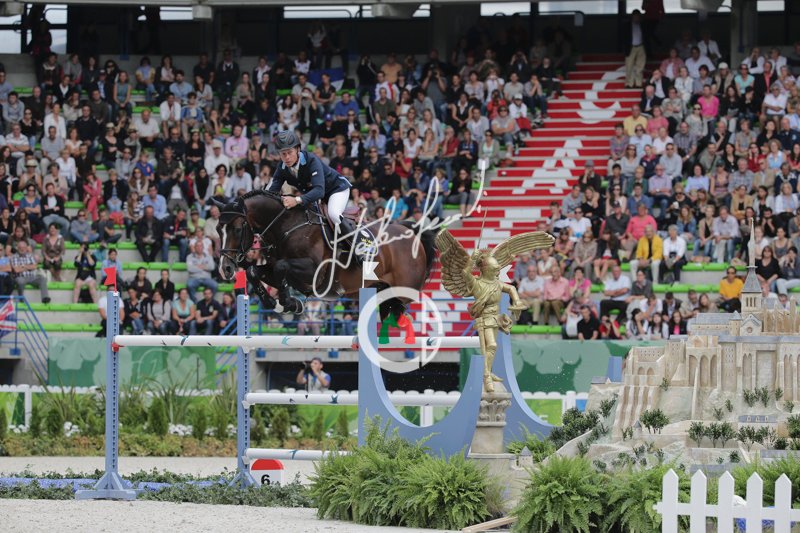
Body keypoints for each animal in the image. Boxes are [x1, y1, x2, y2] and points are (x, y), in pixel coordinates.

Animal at [213, 190, 437, 319]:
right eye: (217, 229)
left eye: (237, 230)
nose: (225, 269)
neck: (287, 226)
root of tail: (411, 232)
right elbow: (255, 272)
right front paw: (278, 305)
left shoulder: (315, 274)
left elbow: (281, 267)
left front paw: (289, 303)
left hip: (403, 291)